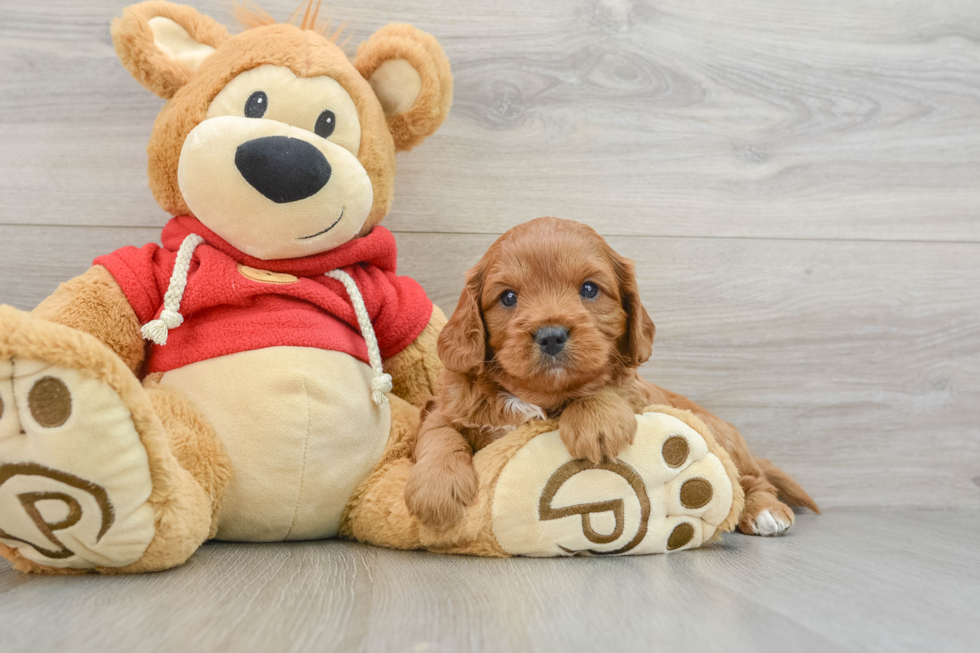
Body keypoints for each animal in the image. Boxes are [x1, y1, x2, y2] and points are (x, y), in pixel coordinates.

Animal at [406, 216, 820, 532]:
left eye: (590, 289)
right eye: (507, 297)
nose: (551, 334)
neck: (538, 398)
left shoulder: (635, 391)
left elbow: (609, 385)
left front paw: (594, 422)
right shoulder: (444, 407)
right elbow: (439, 435)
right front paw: (435, 489)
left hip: (722, 437)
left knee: (749, 479)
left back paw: (764, 511)